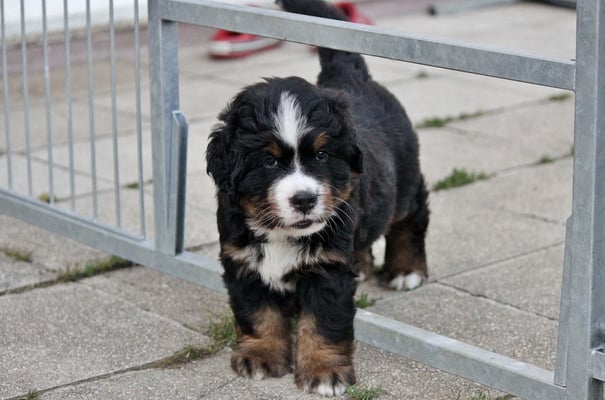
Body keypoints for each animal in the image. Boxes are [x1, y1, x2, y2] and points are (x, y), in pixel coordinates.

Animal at [205, 0, 429, 395]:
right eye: (268, 161)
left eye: (322, 156)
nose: (305, 199)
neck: (279, 232)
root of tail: (351, 77)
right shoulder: (242, 260)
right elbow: (256, 313)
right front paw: (260, 356)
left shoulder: (327, 270)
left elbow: (323, 323)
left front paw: (325, 372)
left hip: (403, 182)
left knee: (412, 215)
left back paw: (406, 270)